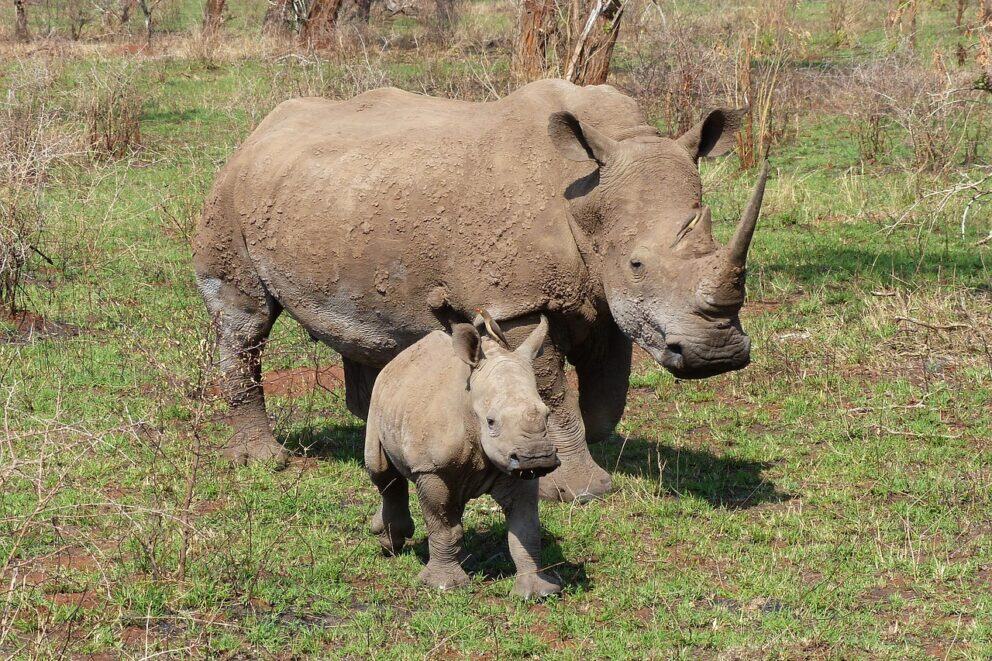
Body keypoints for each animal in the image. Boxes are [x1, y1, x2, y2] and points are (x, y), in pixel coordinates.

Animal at [192, 79, 768, 502]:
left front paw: (593, 452)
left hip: (330, 199)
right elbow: (552, 392)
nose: (718, 354)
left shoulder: (603, 298)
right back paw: (264, 461)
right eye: (638, 263)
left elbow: (608, 394)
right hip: (231, 195)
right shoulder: (519, 302)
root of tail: (257, 133)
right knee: (245, 321)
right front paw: (581, 491)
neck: (588, 195)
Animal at [365, 315, 562, 598]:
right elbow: (441, 524)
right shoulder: (430, 468)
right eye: (491, 422)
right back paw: (390, 545)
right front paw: (443, 585)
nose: (538, 457)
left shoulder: (516, 465)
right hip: (378, 397)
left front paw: (537, 592)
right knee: (381, 471)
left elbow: (526, 528)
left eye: (547, 414)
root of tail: (400, 357)